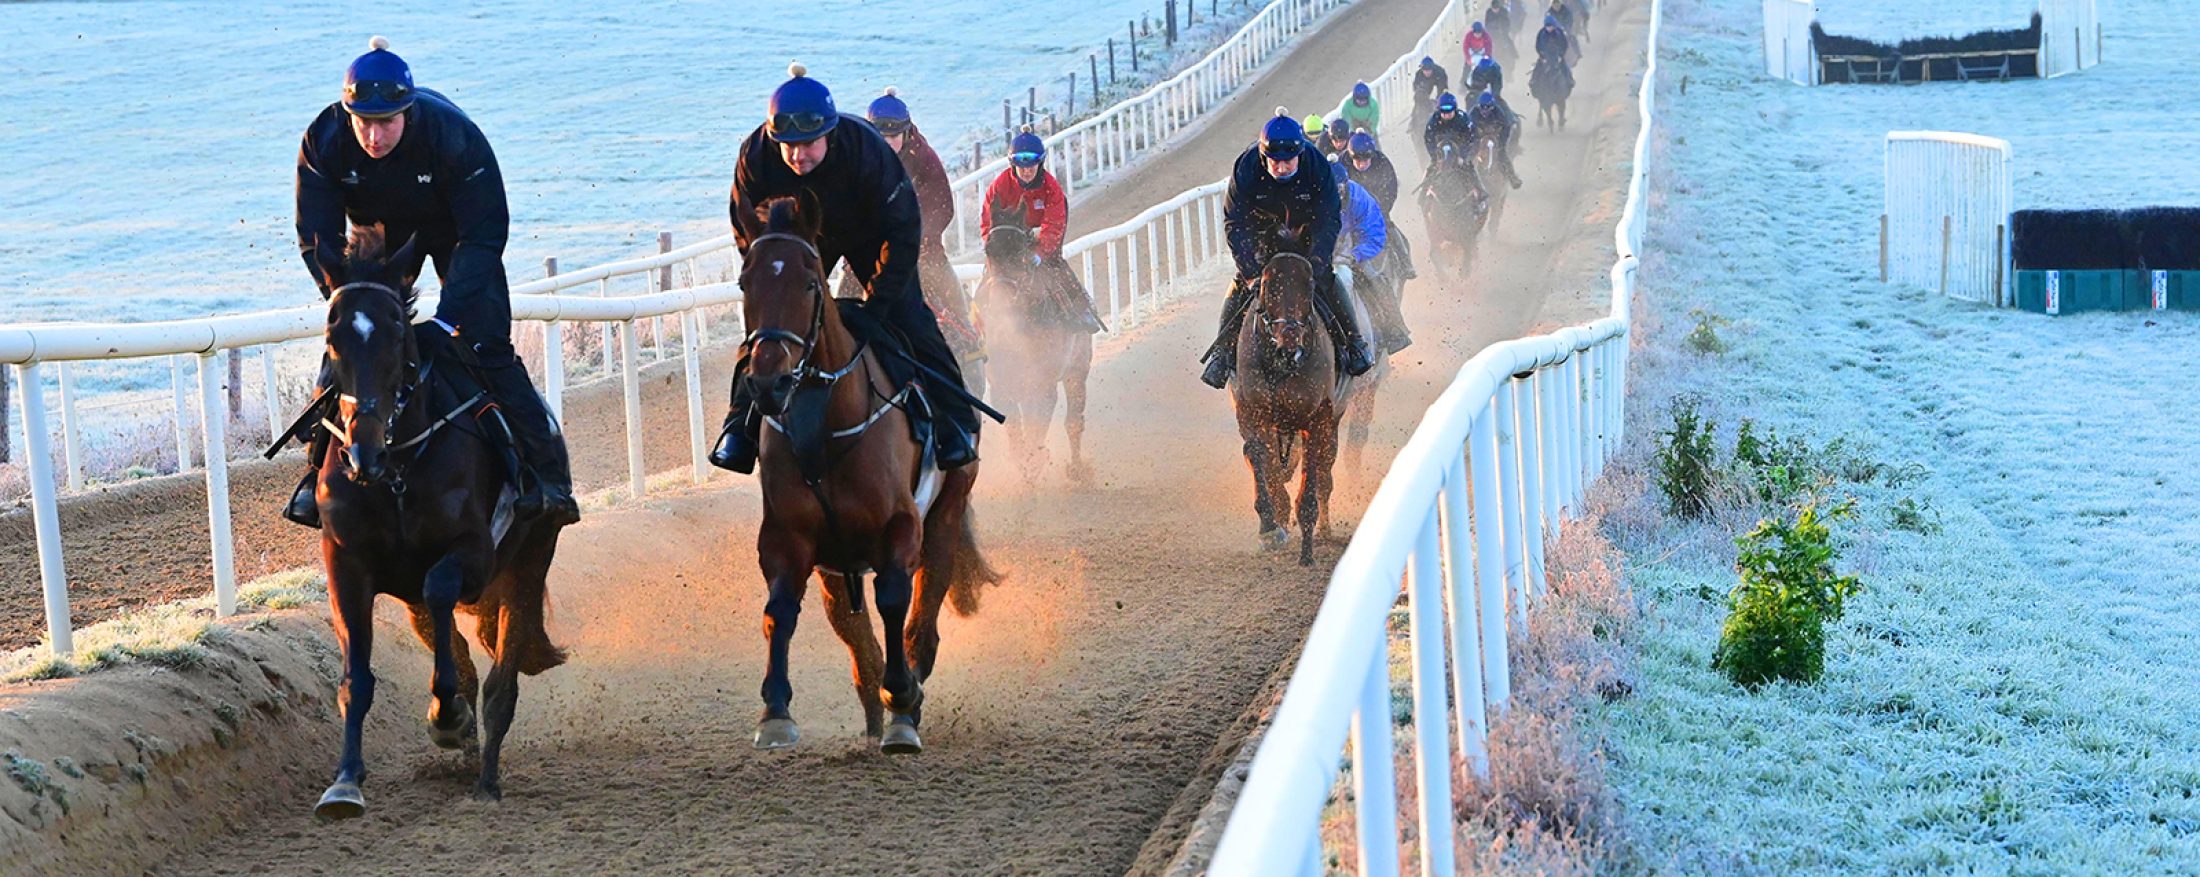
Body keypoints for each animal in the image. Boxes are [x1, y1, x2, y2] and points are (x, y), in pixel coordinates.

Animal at [308, 223, 567, 822]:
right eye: (333, 338)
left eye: (397, 336)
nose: (363, 450)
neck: (399, 469)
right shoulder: (347, 565)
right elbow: (357, 676)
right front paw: (345, 781)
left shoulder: (473, 552)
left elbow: (443, 585)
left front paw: (447, 717)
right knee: (463, 657)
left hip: (528, 563)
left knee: (500, 685)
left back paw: (486, 777)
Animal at [748, 197, 1007, 756]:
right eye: (744, 283)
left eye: (809, 283)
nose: (768, 381)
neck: (824, 427)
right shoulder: (790, 538)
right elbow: (780, 610)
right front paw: (775, 711)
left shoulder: (900, 528)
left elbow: (894, 599)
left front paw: (902, 700)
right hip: (835, 568)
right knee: (852, 629)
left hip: (946, 513)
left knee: (924, 612)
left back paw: (907, 694)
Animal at [976, 214, 1095, 487]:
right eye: (988, 250)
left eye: (1021, 251)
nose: (1000, 298)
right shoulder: (1001, 385)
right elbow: (1014, 432)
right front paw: (1025, 466)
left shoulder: (1044, 384)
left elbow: (1037, 426)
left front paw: (1036, 463)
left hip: (1077, 369)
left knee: (1074, 422)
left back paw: (1078, 470)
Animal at [1240, 252, 1355, 571]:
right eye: (1267, 285)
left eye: (1310, 285)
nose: (1289, 347)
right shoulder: (1252, 412)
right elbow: (1259, 459)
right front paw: (1270, 529)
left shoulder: (1316, 421)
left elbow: (1310, 486)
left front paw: (1307, 554)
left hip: (1332, 421)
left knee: (1324, 474)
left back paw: (1323, 530)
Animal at [1416, 143, 1487, 280]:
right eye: (1438, 154)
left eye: (1455, 154)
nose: (1444, 172)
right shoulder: (1435, 232)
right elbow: (1434, 254)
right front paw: (1443, 277)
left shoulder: (1466, 234)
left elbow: (1467, 253)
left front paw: (1464, 273)